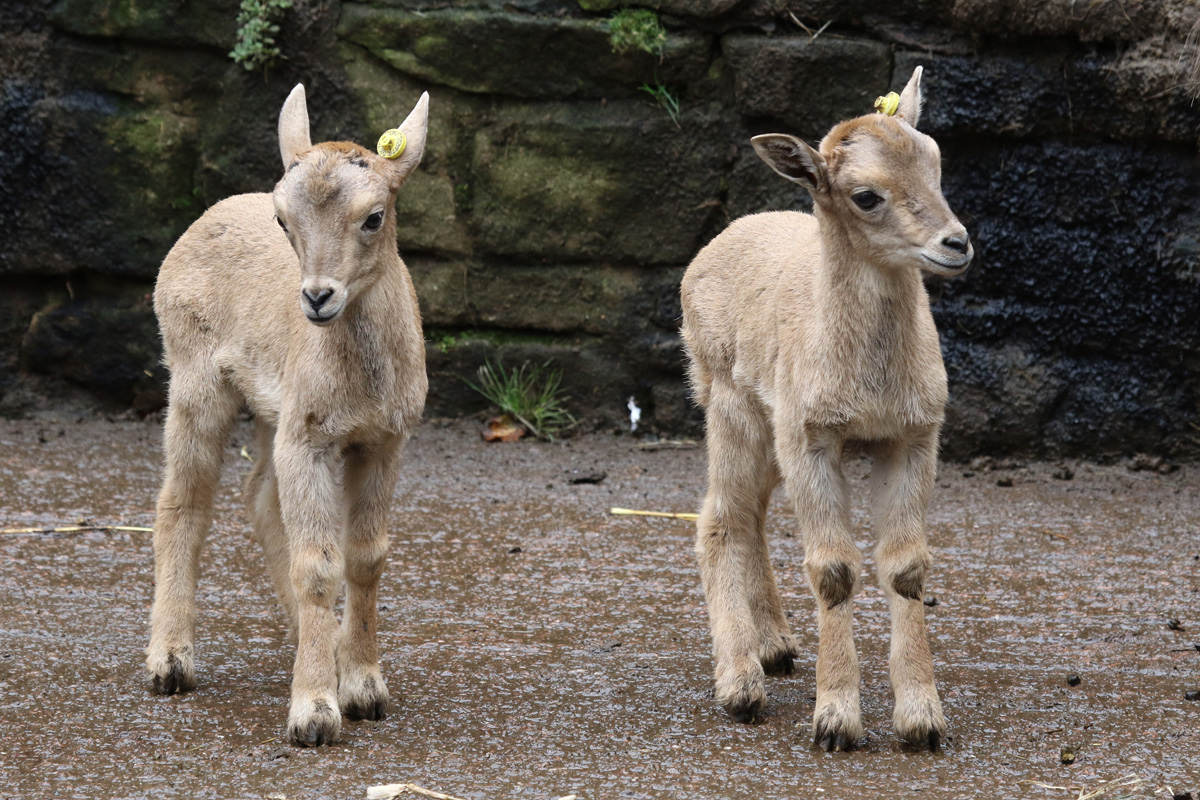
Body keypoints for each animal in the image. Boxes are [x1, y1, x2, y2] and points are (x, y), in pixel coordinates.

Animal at [144, 84, 430, 747]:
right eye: (284, 220)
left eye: (374, 216)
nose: (318, 297)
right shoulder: (311, 440)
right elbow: (318, 566)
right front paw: (315, 714)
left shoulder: (383, 439)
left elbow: (365, 556)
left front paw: (363, 687)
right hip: (194, 378)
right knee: (183, 500)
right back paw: (170, 662)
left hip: (275, 411)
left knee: (258, 494)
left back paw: (311, 639)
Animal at [680, 67, 972, 751]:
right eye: (865, 196)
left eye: (935, 161)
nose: (957, 243)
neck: (869, 390)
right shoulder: (812, 435)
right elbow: (834, 569)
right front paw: (836, 720)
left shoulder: (915, 434)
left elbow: (906, 568)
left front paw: (921, 720)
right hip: (727, 401)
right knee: (719, 516)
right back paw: (740, 682)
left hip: (769, 423)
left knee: (754, 512)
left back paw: (776, 647)